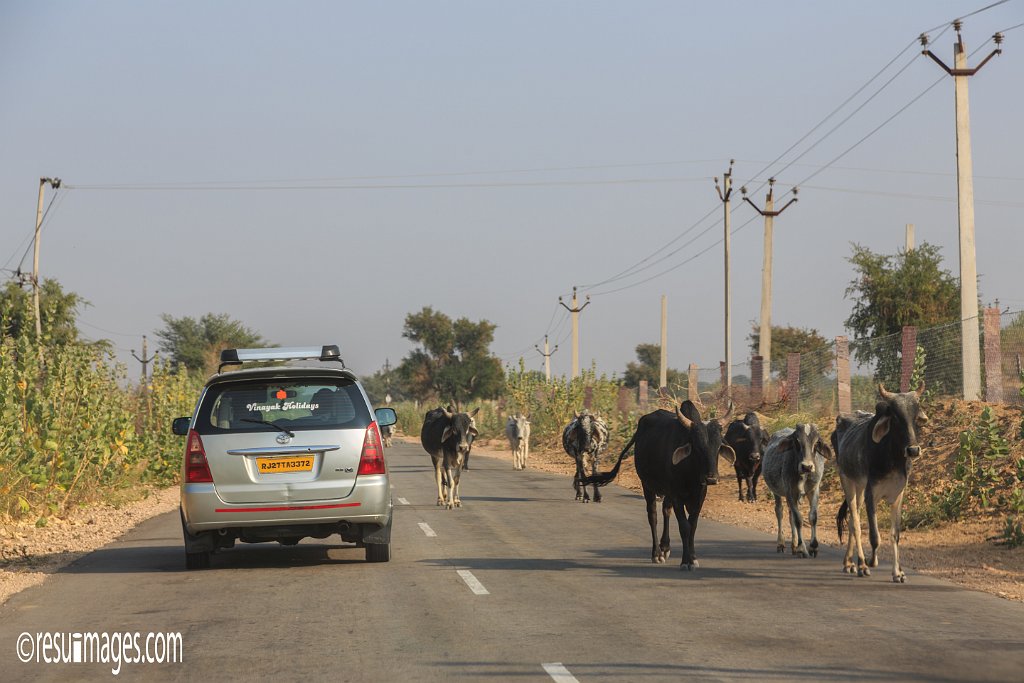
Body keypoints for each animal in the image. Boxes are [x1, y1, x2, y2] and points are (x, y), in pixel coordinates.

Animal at [581, 401, 733, 573]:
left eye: (718, 446)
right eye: (697, 446)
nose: (711, 478)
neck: (690, 471)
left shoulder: (699, 495)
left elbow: (692, 526)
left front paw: (693, 559)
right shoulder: (677, 496)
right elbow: (684, 527)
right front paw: (685, 561)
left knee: (666, 511)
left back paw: (665, 547)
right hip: (647, 485)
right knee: (652, 516)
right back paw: (657, 553)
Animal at [761, 421, 831, 561]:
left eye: (816, 442)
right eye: (797, 442)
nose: (807, 466)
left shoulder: (814, 490)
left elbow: (812, 517)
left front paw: (813, 547)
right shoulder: (790, 492)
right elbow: (798, 519)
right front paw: (802, 548)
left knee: (790, 515)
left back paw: (793, 545)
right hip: (776, 492)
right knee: (780, 512)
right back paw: (781, 543)